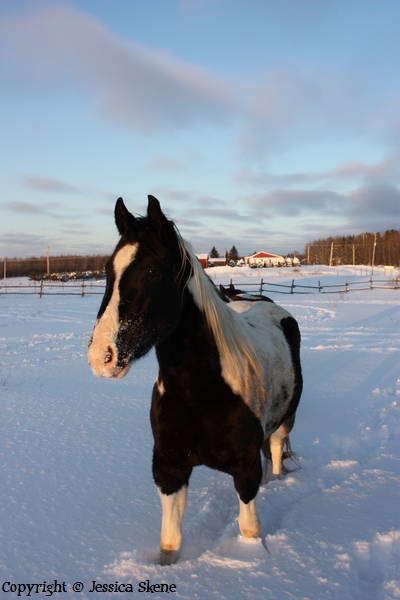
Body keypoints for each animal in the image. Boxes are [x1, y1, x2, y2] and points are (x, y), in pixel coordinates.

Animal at [86, 198, 300, 568]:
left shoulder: (246, 470)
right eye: (108, 270)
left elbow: (249, 529)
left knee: (274, 453)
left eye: (152, 272)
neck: (199, 390)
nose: (102, 356)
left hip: (284, 421)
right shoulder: (169, 469)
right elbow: (170, 542)